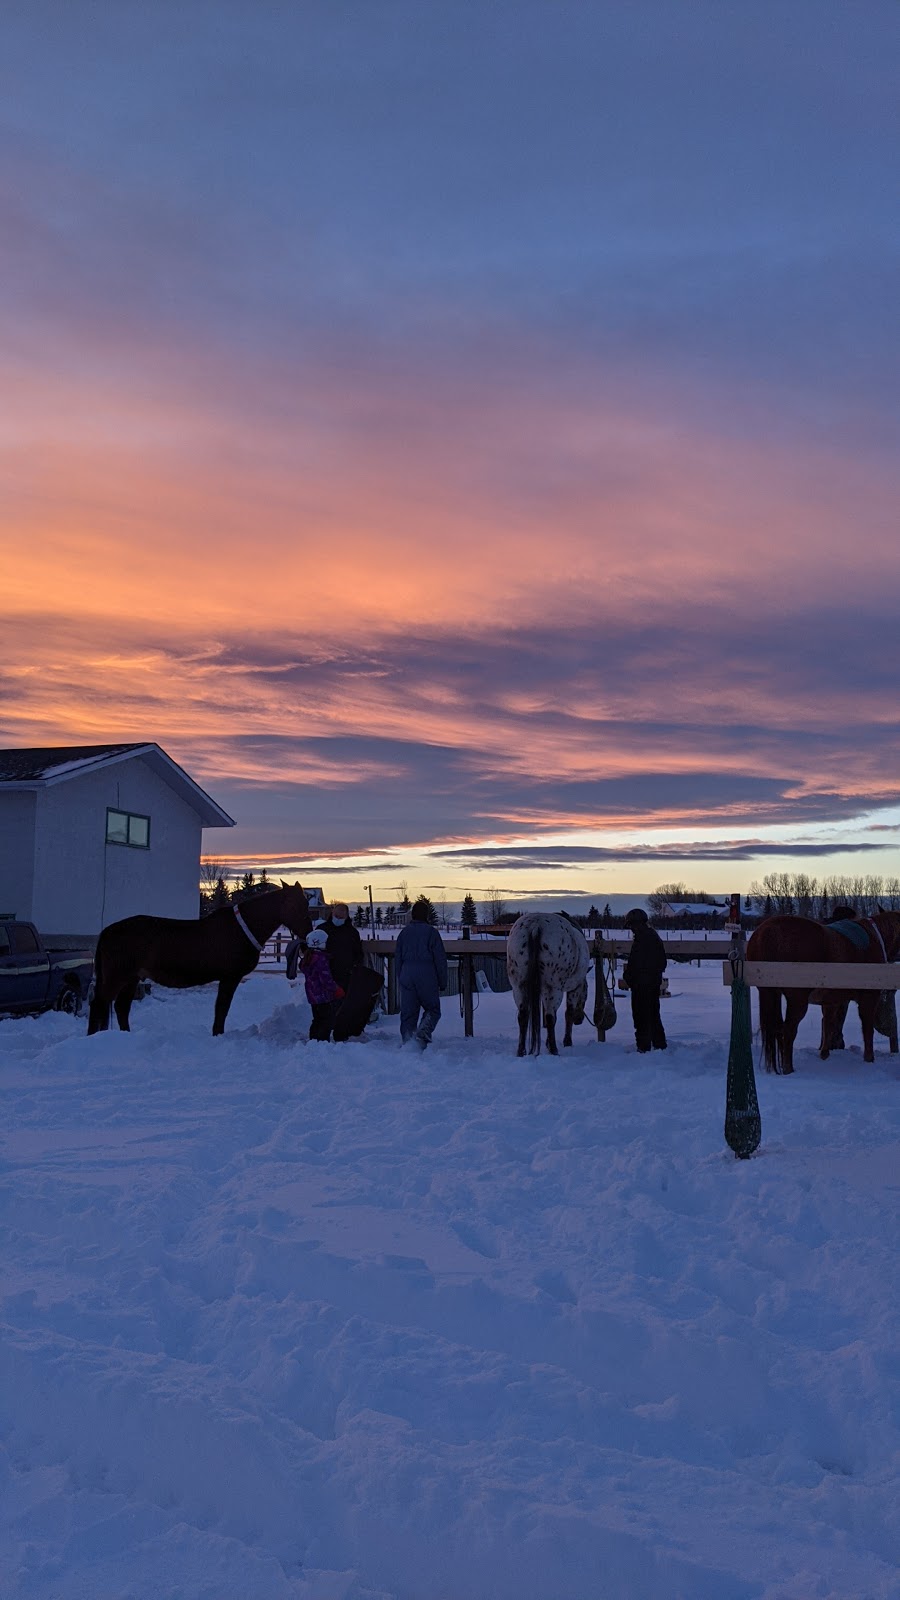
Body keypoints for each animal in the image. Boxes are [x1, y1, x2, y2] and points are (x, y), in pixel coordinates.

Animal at [87, 876, 312, 1036]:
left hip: (132, 977)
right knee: (99, 1004)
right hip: (118, 976)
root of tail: (107, 931)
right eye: (296, 905)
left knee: (120, 1007)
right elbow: (221, 1009)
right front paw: (218, 1035)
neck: (241, 929)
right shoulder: (230, 978)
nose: (309, 936)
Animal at [506, 908, 589, 1056]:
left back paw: (521, 1051)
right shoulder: (575, 988)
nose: (579, 1020)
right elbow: (568, 1013)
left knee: (523, 1016)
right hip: (553, 988)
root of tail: (535, 925)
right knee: (550, 1017)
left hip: (519, 987)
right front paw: (567, 1042)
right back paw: (554, 1050)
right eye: (587, 992)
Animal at [739, 915, 896, 1075]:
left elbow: (828, 1026)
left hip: (769, 993)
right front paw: (869, 1058)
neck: (875, 936)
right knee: (788, 1030)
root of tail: (770, 930)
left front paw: (824, 1055)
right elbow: (867, 1029)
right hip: (797, 1001)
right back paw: (788, 1068)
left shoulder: (831, 1002)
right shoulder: (868, 999)